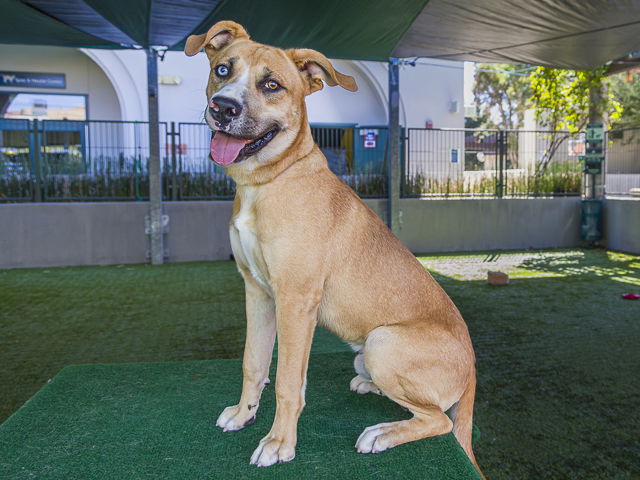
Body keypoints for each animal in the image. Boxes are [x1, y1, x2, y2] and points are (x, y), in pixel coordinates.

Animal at [185, 21, 484, 476]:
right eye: (222, 70)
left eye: (271, 84)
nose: (223, 108)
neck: (268, 181)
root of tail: (472, 373)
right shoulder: (256, 291)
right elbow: (254, 363)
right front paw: (243, 414)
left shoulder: (295, 300)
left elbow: (288, 381)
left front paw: (279, 443)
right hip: (366, 351)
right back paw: (368, 385)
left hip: (382, 342)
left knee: (438, 421)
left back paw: (383, 433)